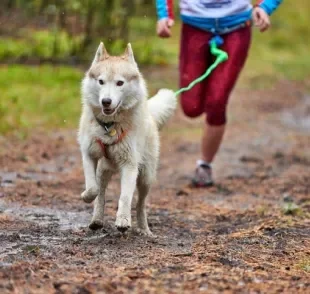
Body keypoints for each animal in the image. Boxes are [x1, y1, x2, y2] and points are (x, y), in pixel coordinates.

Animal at [77, 42, 177, 235]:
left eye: (120, 83)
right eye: (101, 81)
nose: (106, 101)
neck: (109, 126)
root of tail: (150, 115)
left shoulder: (130, 165)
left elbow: (125, 197)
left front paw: (123, 221)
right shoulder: (88, 154)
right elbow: (93, 188)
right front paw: (86, 196)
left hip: (145, 177)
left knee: (140, 204)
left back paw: (144, 229)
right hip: (104, 170)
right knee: (101, 194)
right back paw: (96, 220)